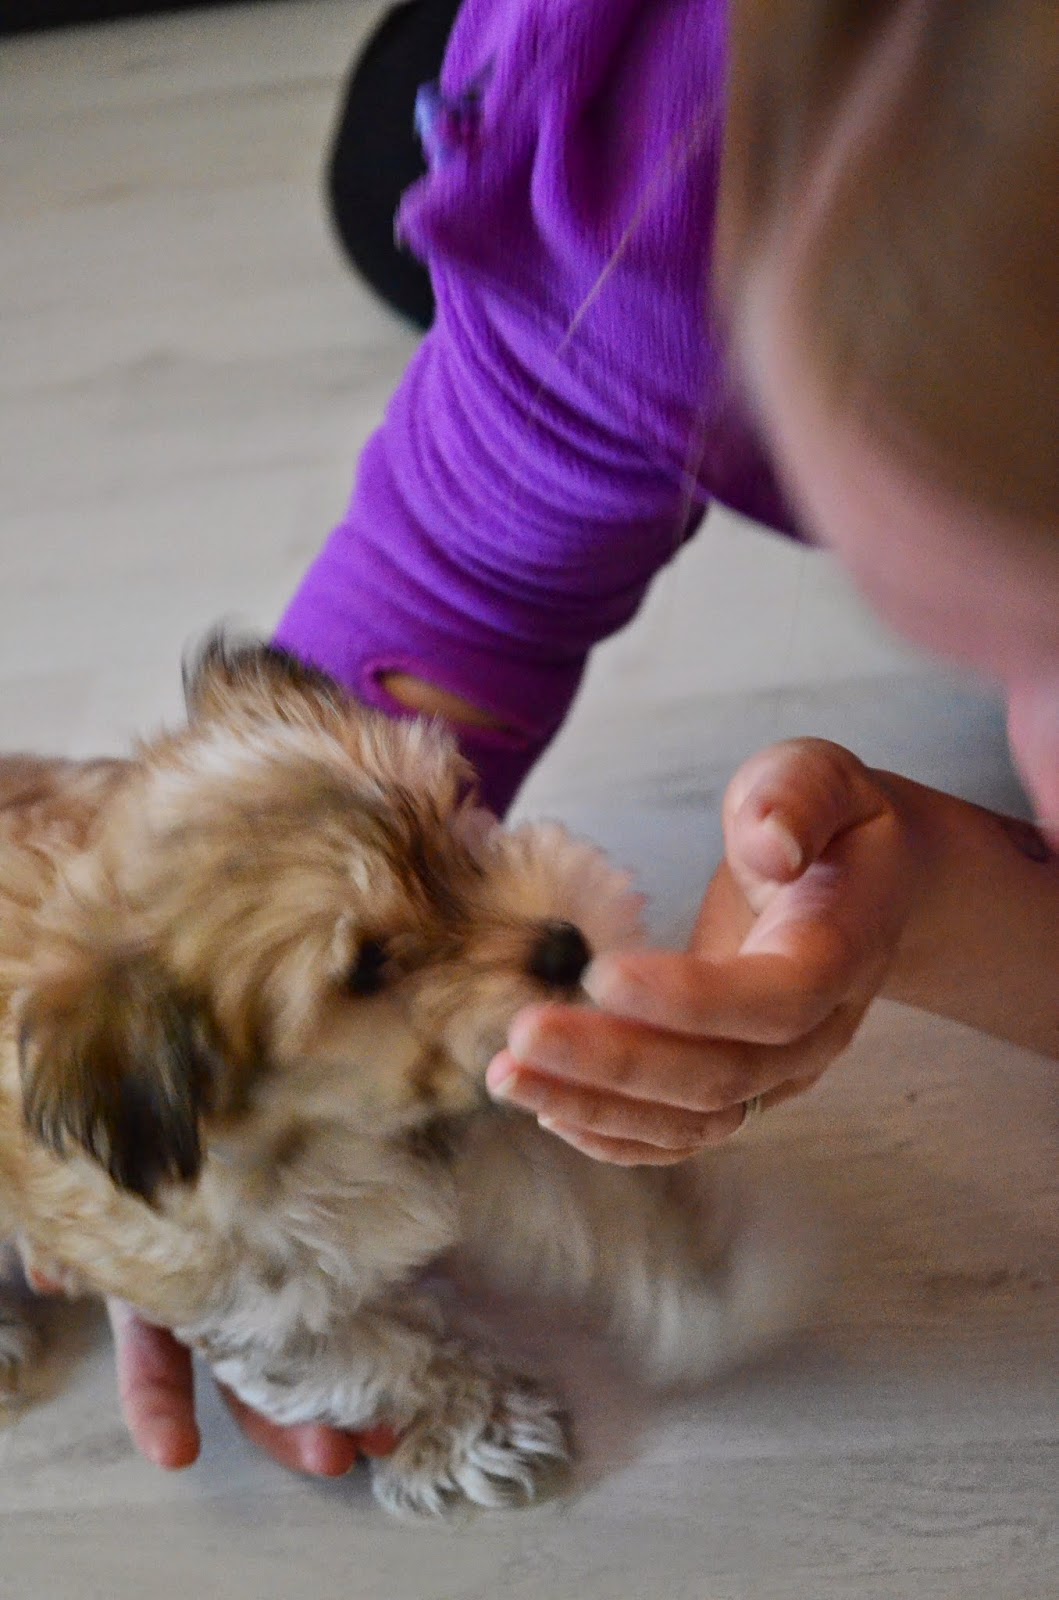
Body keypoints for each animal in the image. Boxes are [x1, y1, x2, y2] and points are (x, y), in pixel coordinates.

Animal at [0, 638, 801, 1517]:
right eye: (369, 966)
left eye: (452, 815)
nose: (566, 946)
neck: (330, 1128)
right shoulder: (252, 1301)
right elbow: (371, 1357)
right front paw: (476, 1424)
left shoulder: (473, 1099)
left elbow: (579, 1191)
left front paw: (700, 1258)